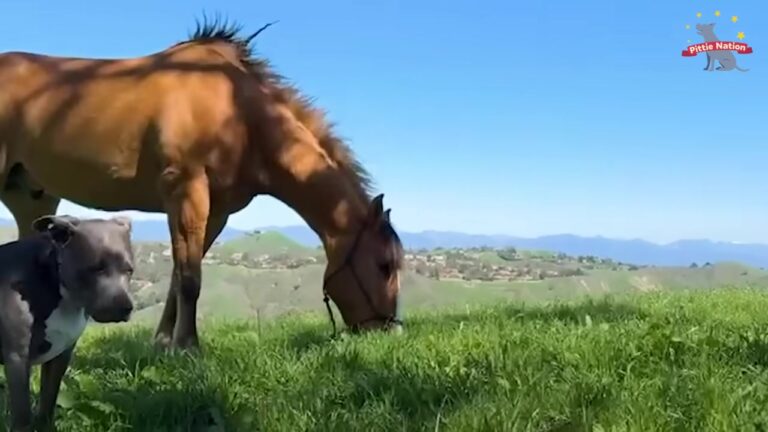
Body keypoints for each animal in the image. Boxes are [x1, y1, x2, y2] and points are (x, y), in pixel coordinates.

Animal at [0, 18, 405, 350]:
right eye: (384, 265)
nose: (388, 331)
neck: (238, 112)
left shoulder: (217, 212)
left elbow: (178, 277)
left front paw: (164, 342)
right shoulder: (186, 191)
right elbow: (190, 279)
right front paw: (188, 347)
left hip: (32, 198)